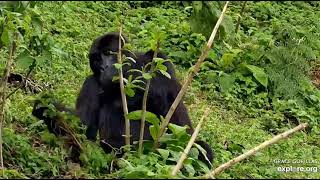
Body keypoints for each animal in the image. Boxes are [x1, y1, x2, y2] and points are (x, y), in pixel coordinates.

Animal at [75, 31, 212, 165]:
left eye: (108, 53)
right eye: (97, 60)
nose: (104, 67)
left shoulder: (159, 58)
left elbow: (171, 106)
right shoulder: (90, 84)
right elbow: (83, 131)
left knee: (198, 147)